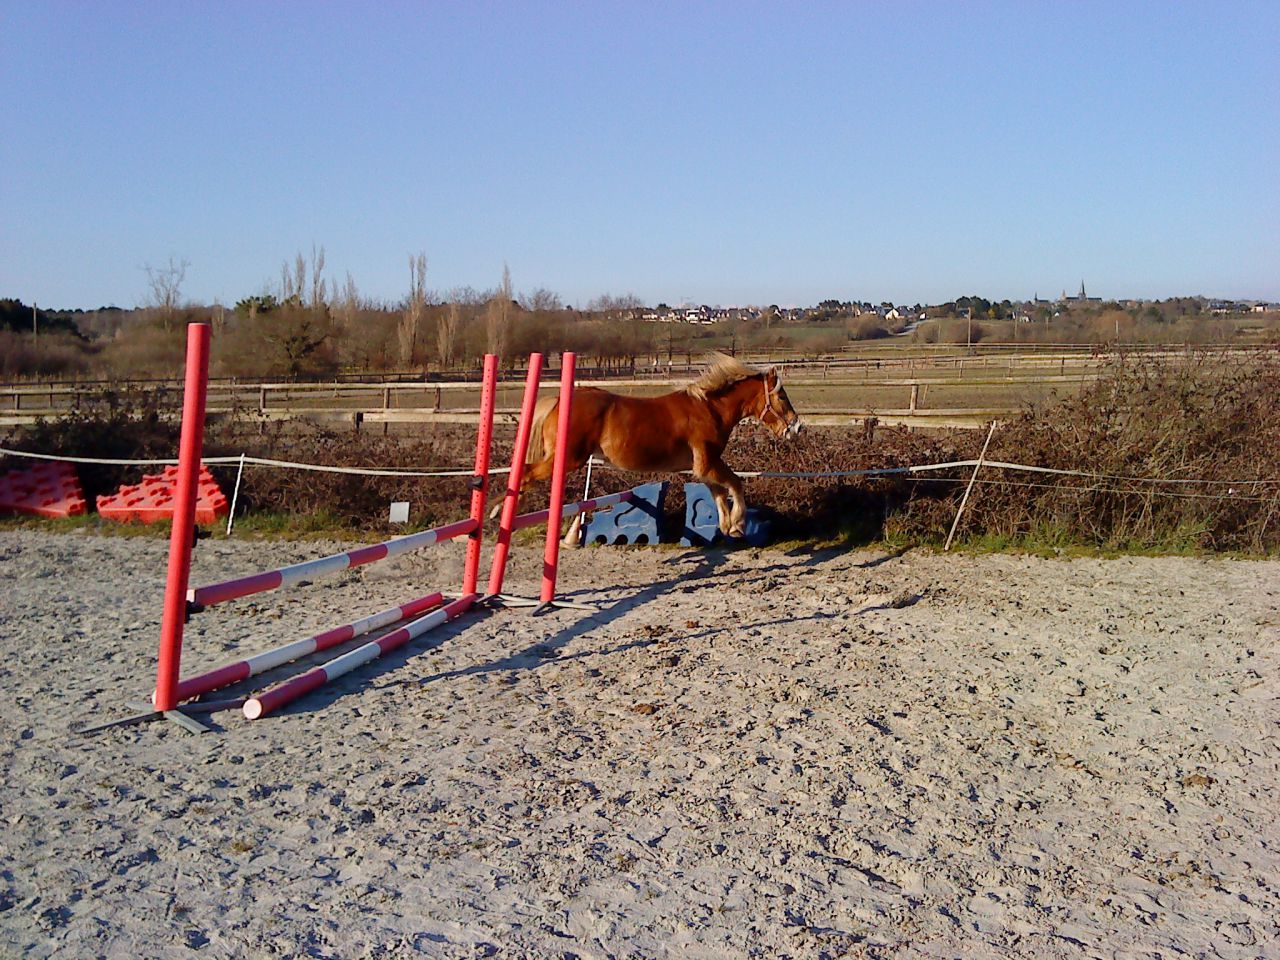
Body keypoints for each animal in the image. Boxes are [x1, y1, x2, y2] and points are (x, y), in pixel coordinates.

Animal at [519, 353, 803, 538]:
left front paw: (727, 526)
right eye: (781, 395)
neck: (709, 409)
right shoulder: (707, 463)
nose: (796, 427)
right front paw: (738, 525)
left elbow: (720, 492)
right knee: (526, 473)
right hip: (568, 459)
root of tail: (557, 402)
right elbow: (735, 484)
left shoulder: (705, 465)